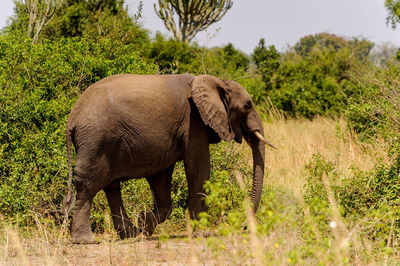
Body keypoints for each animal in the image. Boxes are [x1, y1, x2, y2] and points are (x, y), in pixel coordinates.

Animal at [62, 72, 276, 243]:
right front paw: (201, 234)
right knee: (89, 185)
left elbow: (161, 178)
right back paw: (86, 241)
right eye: (247, 106)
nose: (243, 227)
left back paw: (131, 234)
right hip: (95, 140)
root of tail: (73, 117)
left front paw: (144, 224)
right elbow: (198, 169)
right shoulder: (193, 122)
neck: (216, 81)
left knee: (111, 186)